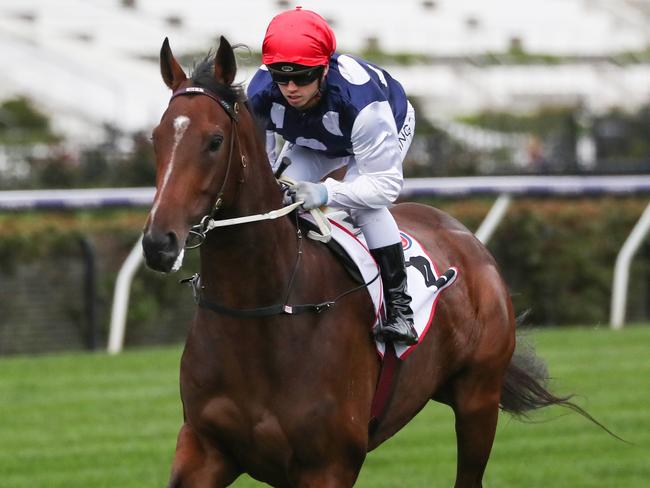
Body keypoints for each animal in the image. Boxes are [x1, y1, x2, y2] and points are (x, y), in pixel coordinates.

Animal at [143, 36, 592, 486]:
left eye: (215, 140)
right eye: (156, 138)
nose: (158, 242)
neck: (264, 314)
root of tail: (465, 236)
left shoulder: (329, 465)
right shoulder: (204, 448)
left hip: (478, 399)